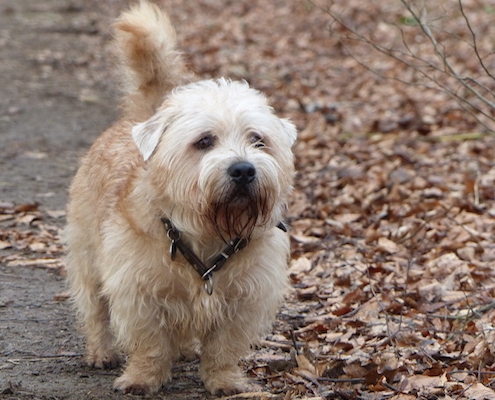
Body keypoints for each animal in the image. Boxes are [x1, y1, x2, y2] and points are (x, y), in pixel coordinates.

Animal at [66, 1, 298, 396]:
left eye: (258, 140)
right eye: (204, 141)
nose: (243, 170)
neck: (207, 233)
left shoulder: (244, 299)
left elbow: (223, 346)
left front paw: (224, 380)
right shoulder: (137, 291)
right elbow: (149, 343)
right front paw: (143, 378)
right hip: (87, 257)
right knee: (95, 310)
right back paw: (100, 351)